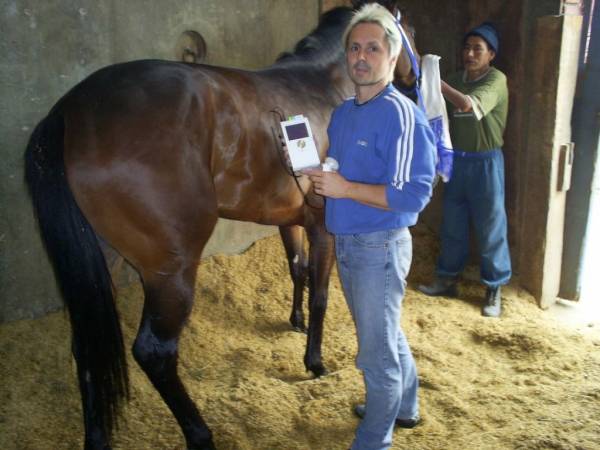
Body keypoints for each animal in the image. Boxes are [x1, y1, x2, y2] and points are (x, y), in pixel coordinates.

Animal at [24, 4, 419, 449]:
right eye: (410, 32)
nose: (413, 83)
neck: (321, 86)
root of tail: (70, 111)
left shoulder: (289, 220)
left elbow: (296, 269)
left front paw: (295, 321)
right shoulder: (322, 225)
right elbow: (320, 293)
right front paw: (315, 362)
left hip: (104, 261)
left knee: (88, 345)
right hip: (172, 271)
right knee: (154, 352)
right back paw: (201, 433)